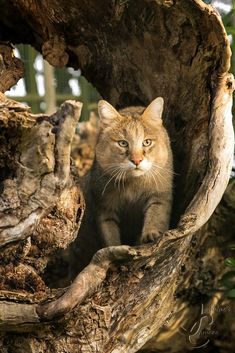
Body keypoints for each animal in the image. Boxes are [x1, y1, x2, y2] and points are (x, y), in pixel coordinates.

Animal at [78, 96, 173, 250]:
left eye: (147, 142)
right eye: (123, 143)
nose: (136, 160)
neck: (133, 182)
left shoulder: (160, 195)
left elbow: (156, 215)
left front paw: (151, 233)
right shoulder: (104, 208)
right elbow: (110, 235)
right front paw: (114, 247)